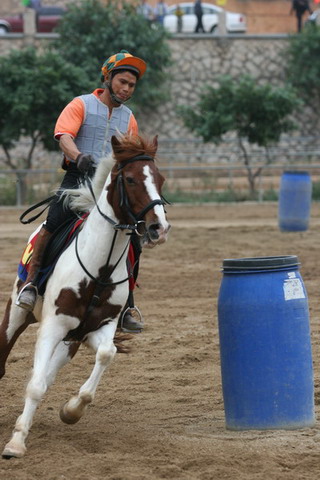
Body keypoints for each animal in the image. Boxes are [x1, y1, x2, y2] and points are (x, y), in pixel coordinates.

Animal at [0, 132, 170, 458]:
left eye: (161, 178)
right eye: (130, 179)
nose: (159, 227)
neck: (99, 269)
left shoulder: (100, 328)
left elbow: (106, 354)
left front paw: (71, 411)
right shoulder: (52, 325)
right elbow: (35, 385)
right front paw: (16, 442)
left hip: (73, 340)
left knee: (50, 373)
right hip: (17, 313)